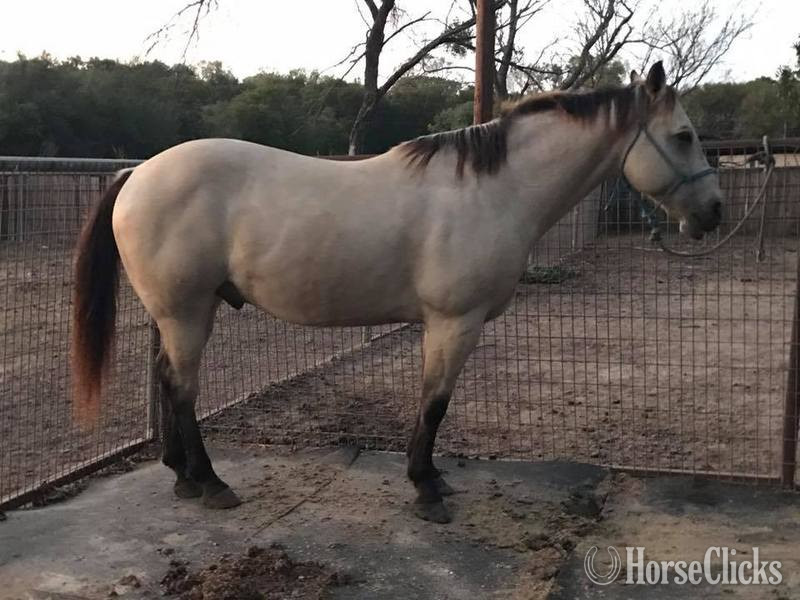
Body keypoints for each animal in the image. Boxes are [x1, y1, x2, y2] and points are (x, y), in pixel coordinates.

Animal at [71, 62, 721, 524]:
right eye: (683, 136)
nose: (713, 213)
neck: (495, 191)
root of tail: (138, 173)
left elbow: (433, 403)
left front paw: (430, 479)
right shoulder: (455, 323)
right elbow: (435, 403)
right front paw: (427, 487)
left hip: (180, 313)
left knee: (165, 380)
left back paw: (181, 475)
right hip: (186, 312)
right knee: (182, 390)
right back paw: (210, 483)